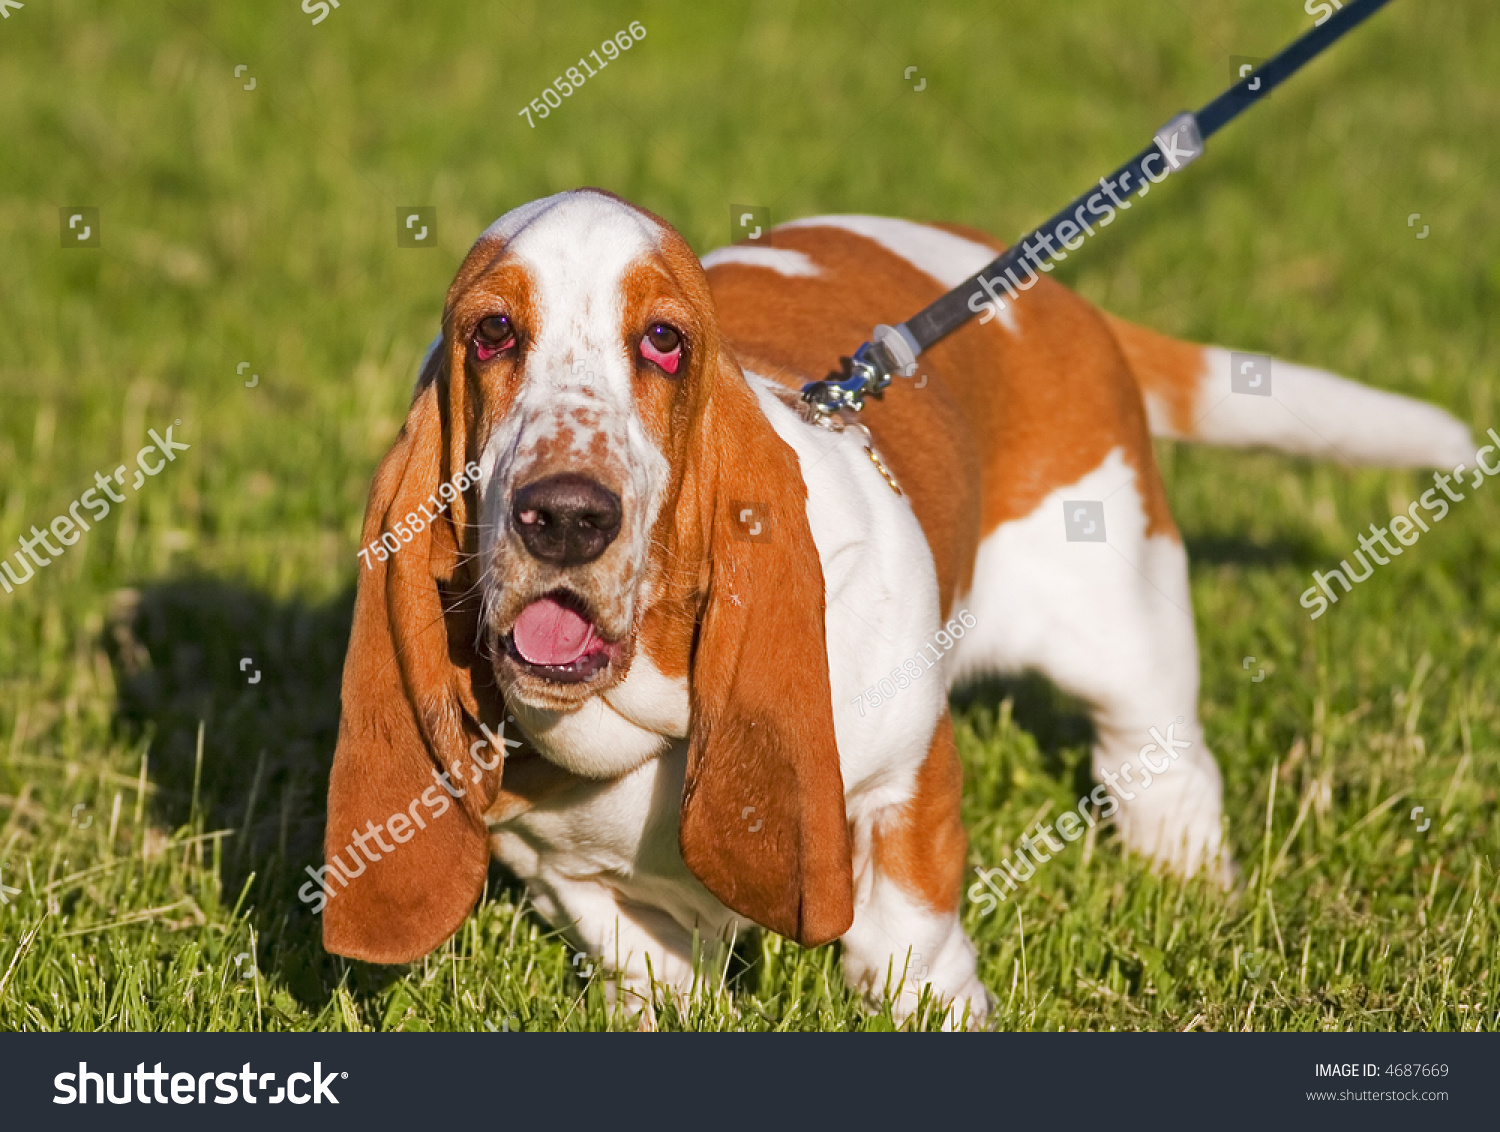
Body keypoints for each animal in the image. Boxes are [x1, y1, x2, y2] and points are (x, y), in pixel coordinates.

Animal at [319, 188, 1476, 1025]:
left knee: (1158, 759)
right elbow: (644, 963)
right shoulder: (562, 871)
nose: (565, 515)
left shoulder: (903, 777)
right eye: (491, 334)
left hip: (1123, 620)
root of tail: (1044, 287)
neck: (639, 720)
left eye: (665, 343)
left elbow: (904, 940)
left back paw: (1183, 883)